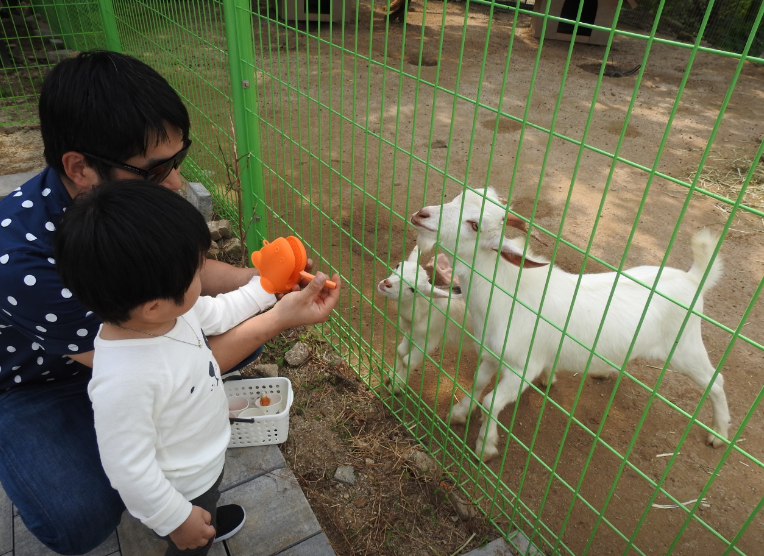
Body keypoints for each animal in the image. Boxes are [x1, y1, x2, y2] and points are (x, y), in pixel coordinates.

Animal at [376, 245, 472, 394]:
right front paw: (391, 376)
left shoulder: (429, 340)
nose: (386, 283)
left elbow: (408, 361)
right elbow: (400, 351)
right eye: (398, 265)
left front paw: (396, 386)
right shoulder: (411, 332)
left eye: (413, 289)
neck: (424, 308)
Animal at [414, 187, 732, 460]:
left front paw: (486, 446)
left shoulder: (523, 366)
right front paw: (459, 413)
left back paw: (719, 434)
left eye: (474, 225)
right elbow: (478, 382)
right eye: (455, 198)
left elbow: (492, 401)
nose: (421, 215)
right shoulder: (492, 353)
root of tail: (692, 279)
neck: (508, 292)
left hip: (685, 347)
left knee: (715, 381)